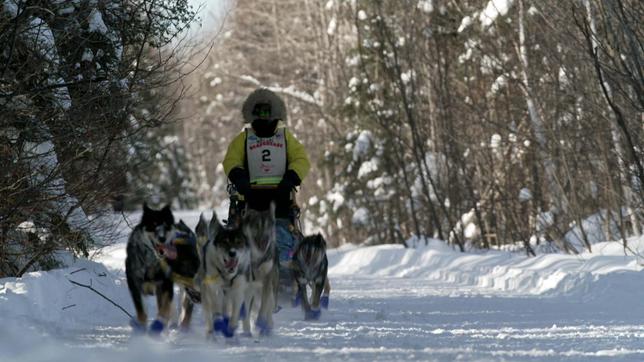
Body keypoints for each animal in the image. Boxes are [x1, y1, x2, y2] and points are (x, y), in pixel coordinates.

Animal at [124, 204, 199, 334]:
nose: (162, 238)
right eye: (153, 225)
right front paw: (141, 328)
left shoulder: (164, 285)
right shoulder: (135, 286)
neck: (150, 263)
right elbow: (141, 311)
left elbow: (164, 310)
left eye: (166, 226)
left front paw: (158, 326)